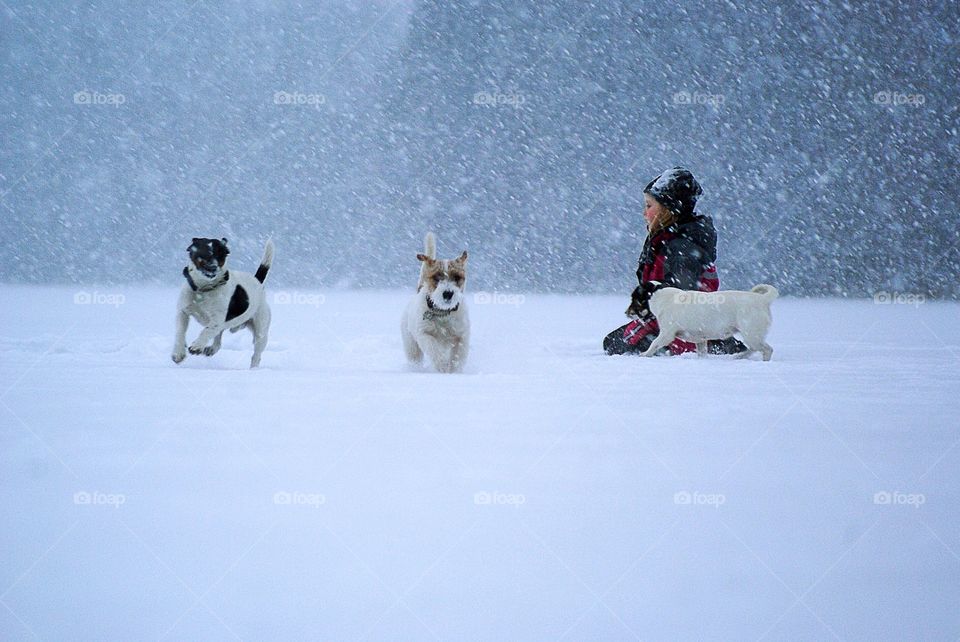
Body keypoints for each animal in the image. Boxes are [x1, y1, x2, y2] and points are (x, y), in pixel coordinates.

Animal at [169, 236, 272, 368]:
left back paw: (253, 369)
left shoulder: (217, 320)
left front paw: (197, 346)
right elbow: (180, 332)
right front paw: (178, 353)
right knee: (218, 342)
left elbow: (206, 331)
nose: (213, 267)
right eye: (203, 254)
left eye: (220, 255)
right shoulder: (182, 312)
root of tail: (257, 282)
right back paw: (211, 349)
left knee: (256, 355)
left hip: (261, 330)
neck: (203, 289)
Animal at [400, 231, 470, 372]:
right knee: (415, 357)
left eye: (457, 277)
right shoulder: (424, 333)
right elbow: (434, 349)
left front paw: (453, 371)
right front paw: (442, 367)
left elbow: (458, 356)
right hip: (411, 346)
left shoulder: (462, 335)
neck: (443, 313)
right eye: (436, 277)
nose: (448, 293)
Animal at [640, 282, 776, 358]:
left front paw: (645, 354)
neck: (661, 297)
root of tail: (763, 299)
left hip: (752, 334)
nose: (629, 312)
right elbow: (702, 352)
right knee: (754, 349)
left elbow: (654, 343)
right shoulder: (700, 340)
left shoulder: (666, 334)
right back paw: (739, 356)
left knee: (767, 349)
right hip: (753, 337)